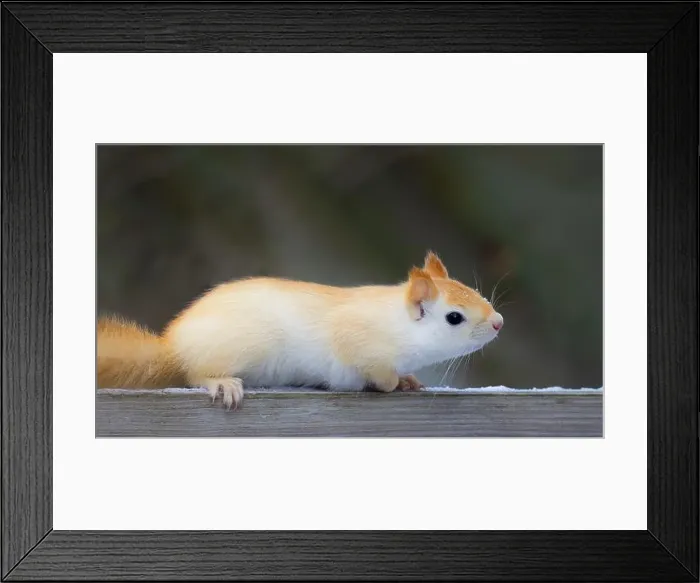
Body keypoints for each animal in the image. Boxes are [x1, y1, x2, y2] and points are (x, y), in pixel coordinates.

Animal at [97, 251, 504, 410]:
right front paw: (392, 383)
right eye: (454, 318)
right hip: (235, 349)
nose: (499, 322)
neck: (395, 322)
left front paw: (408, 380)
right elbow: (376, 372)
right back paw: (221, 383)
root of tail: (174, 346)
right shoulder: (356, 341)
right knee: (195, 373)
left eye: (475, 292)